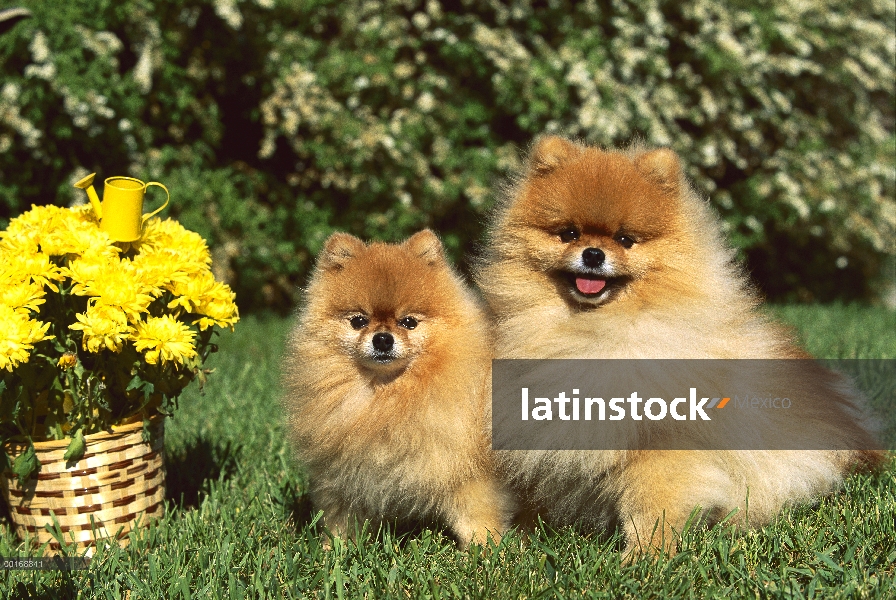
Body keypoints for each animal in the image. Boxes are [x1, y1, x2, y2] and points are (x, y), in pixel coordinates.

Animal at [284, 230, 516, 548]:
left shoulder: (465, 471)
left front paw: (486, 550)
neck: (387, 397)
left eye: (409, 322)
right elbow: (341, 519)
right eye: (359, 321)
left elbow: (476, 517)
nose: (383, 339)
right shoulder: (345, 476)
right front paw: (334, 549)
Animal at [476, 135, 880, 552]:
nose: (593, 254)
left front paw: (646, 554)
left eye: (625, 240)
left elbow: (654, 503)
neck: (596, 333)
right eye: (569, 233)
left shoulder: (665, 446)